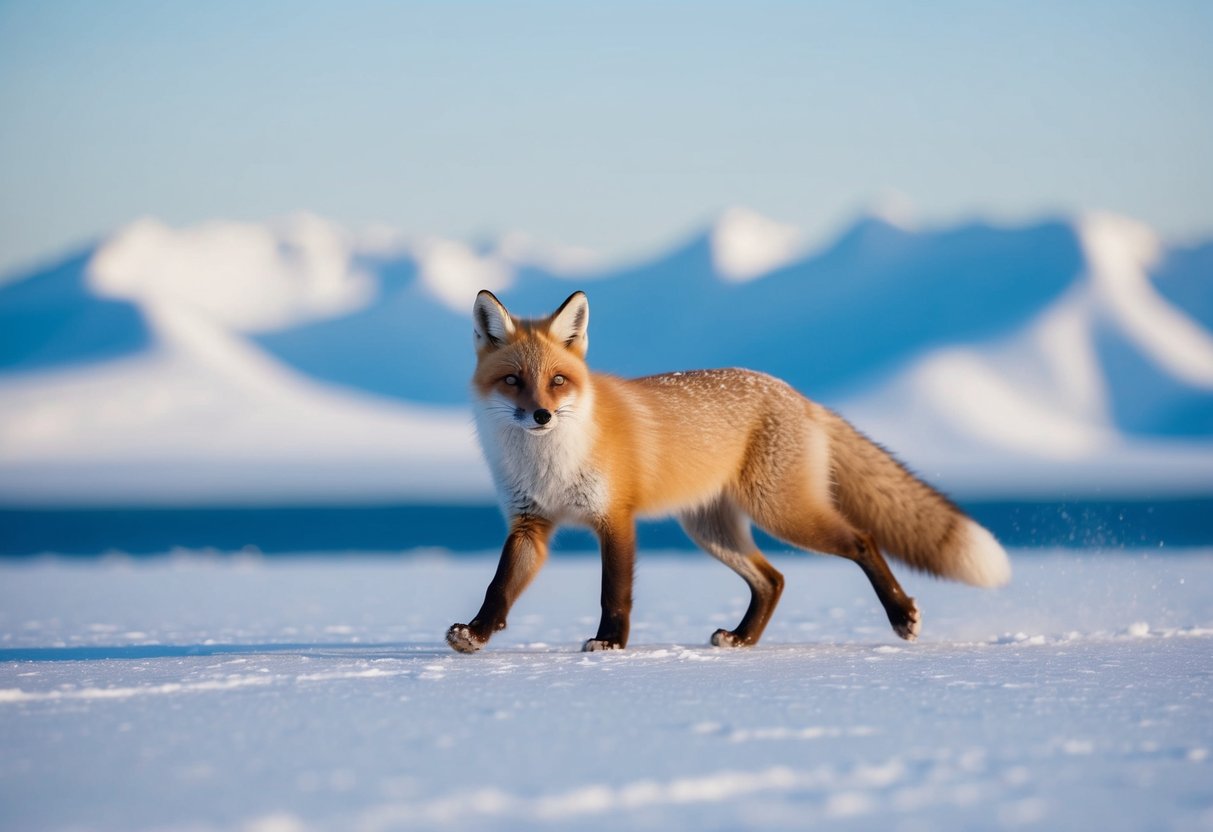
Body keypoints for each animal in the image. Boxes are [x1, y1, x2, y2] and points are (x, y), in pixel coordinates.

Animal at [446, 290, 1011, 654]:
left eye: (558, 381)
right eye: (513, 381)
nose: (541, 415)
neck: (550, 464)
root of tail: (800, 396)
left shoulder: (616, 518)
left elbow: (615, 592)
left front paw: (609, 642)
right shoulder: (531, 524)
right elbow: (499, 586)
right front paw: (475, 634)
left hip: (783, 514)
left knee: (863, 541)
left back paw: (902, 616)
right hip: (711, 529)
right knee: (774, 579)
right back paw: (743, 639)